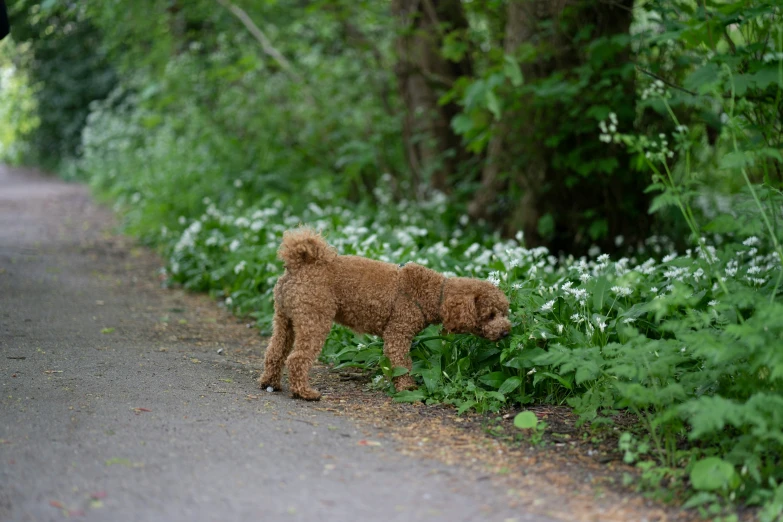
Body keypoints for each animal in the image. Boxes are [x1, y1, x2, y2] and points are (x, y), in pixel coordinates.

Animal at [258, 226, 516, 398]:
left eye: (504, 312)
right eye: (491, 315)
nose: (506, 333)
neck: (433, 293)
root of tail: (299, 265)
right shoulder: (397, 335)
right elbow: (403, 364)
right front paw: (408, 389)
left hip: (285, 319)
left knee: (275, 352)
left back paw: (270, 382)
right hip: (315, 320)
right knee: (297, 358)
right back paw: (304, 392)